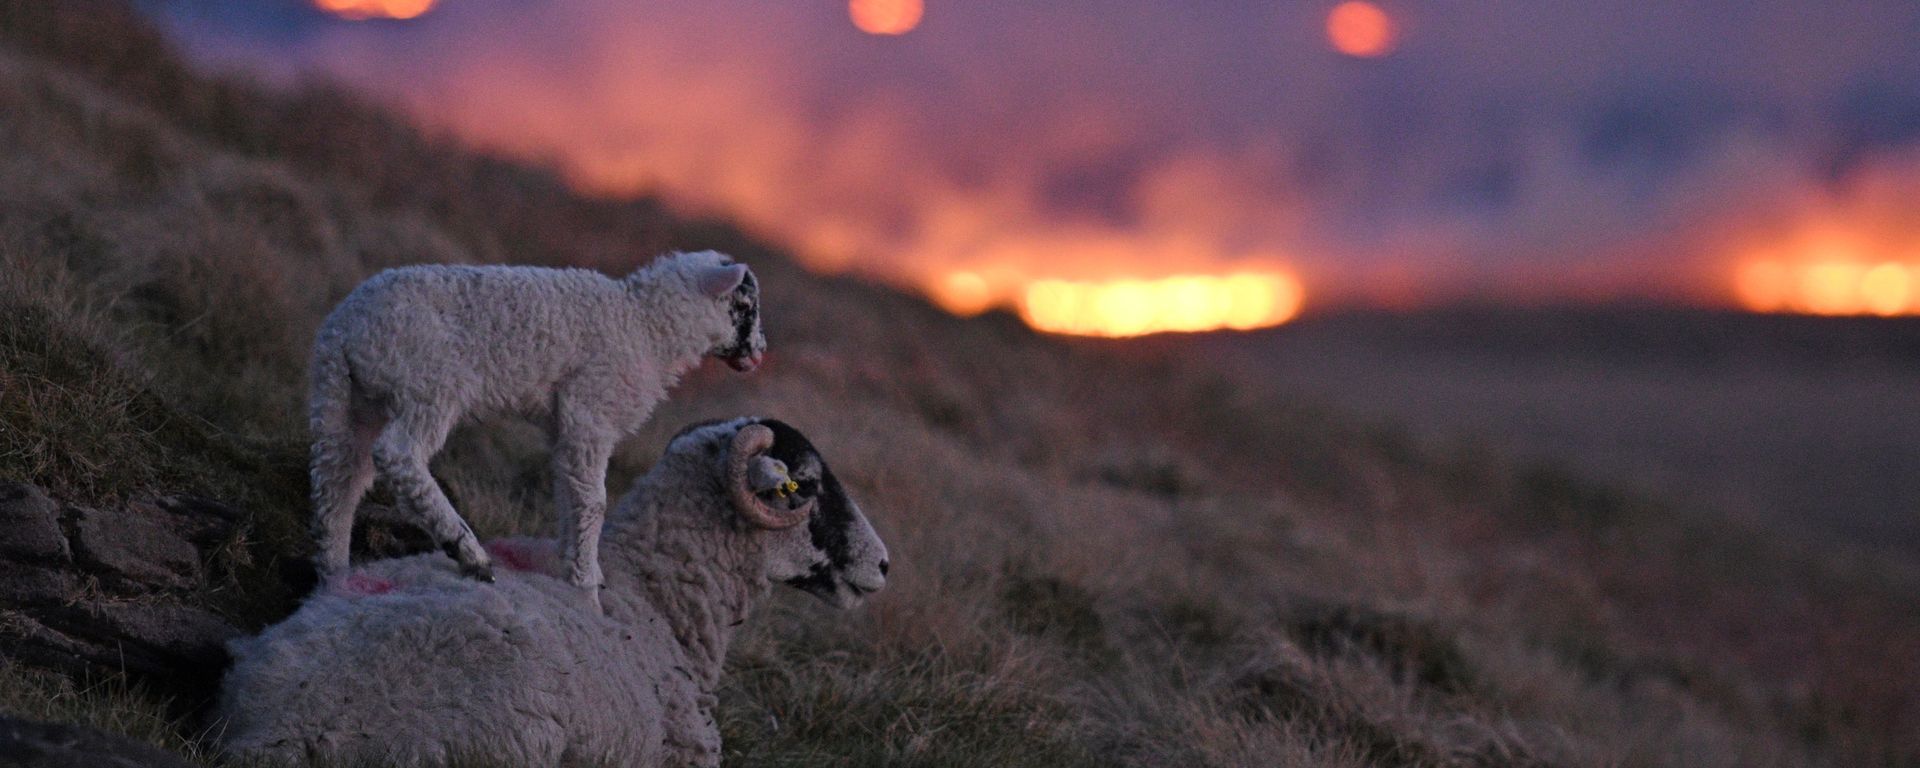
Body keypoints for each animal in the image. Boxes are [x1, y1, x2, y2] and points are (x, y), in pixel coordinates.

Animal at [306, 250, 766, 603]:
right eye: (745, 306)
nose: (761, 352)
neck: (646, 327)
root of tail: (343, 328)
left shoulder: (566, 426)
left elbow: (569, 492)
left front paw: (575, 568)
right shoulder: (590, 409)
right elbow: (594, 502)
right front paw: (586, 589)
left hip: (348, 402)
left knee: (338, 487)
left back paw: (336, 579)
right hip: (428, 382)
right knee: (398, 455)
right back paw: (466, 549)